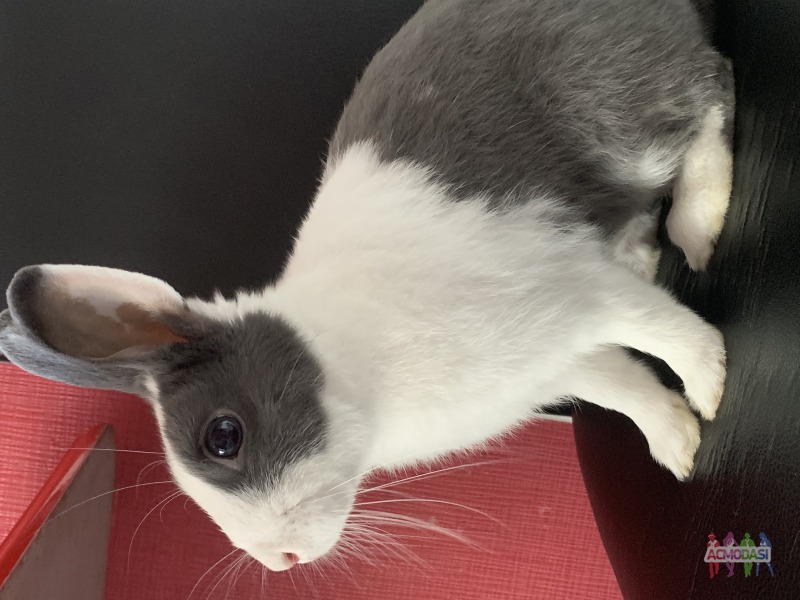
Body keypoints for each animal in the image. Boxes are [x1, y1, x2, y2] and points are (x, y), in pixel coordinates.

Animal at [0, 0, 731, 573]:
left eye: (223, 437)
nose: (281, 560)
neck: (352, 367)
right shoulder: (562, 363)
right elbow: (625, 389)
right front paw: (678, 445)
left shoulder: (572, 290)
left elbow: (661, 330)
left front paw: (713, 388)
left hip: (621, 112)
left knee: (711, 91)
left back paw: (700, 226)